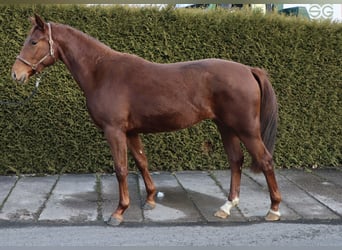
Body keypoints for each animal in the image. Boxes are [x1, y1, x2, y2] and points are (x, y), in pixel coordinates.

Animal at [12, 14, 282, 226]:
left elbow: (121, 168)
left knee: (265, 160)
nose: (16, 74)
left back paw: (274, 209)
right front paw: (151, 198)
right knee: (236, 161)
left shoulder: (114, 131)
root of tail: (249, 70)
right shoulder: (131, 132)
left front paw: (119, 212)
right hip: (226, 127)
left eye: (33, 42)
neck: (101, 72)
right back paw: (226, 207)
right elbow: (141, 162)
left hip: (246, 129)